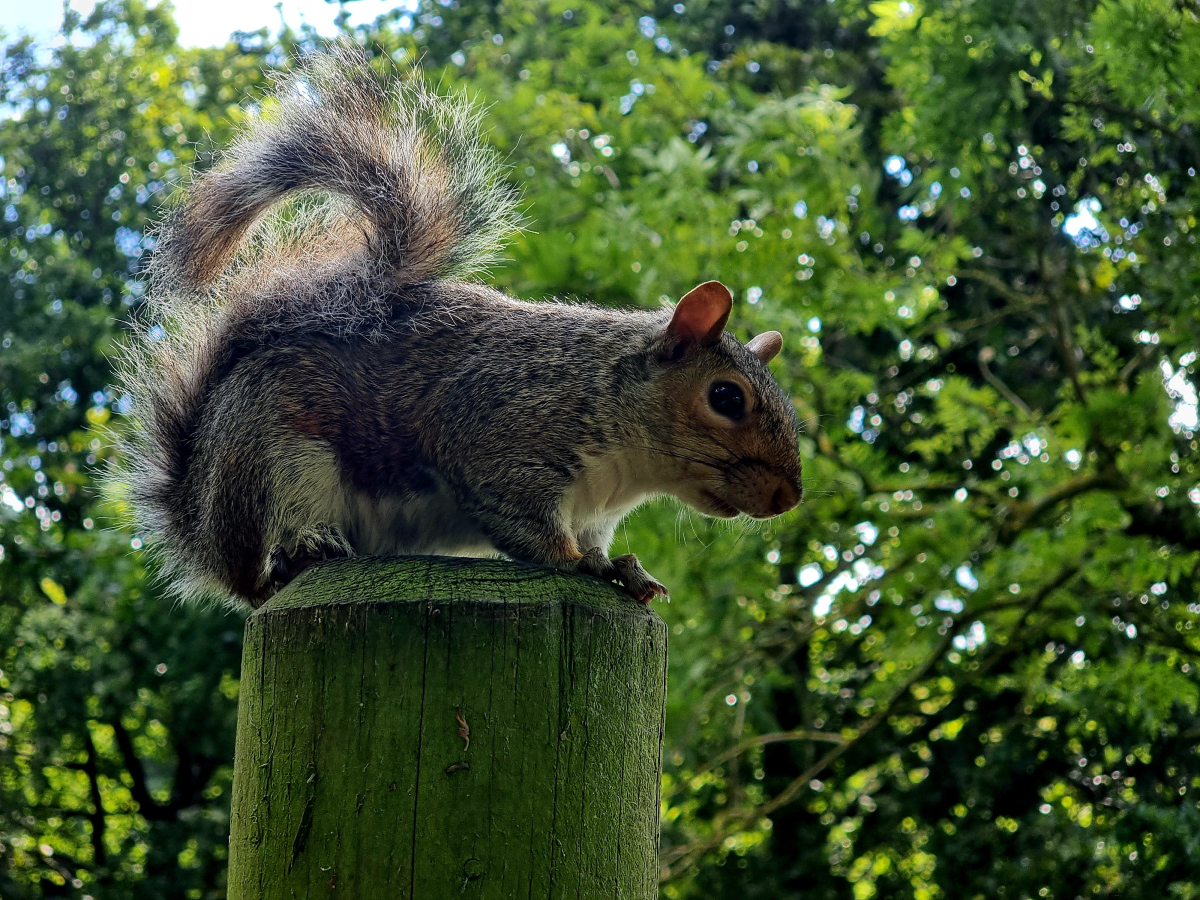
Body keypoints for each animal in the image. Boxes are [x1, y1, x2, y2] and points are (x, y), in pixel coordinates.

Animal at [117, 40, 801, 607]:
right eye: (726, 398)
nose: (787, 499)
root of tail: (200, 524)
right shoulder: (497, 437)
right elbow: (528, 529)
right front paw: (580, 565)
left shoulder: (592, 512)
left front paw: (625, 571)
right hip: (274, 462)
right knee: (259, 574)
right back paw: (300, 551)